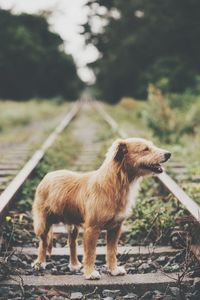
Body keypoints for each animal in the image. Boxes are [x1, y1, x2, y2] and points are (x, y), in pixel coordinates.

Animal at [31, 138, 170, 278]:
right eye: (145, 149)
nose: (168, 154)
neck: (115, 183)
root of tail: (48, 175)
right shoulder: (92, 229)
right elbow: (90, 253)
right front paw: (90, 273)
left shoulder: (115, 228)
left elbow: (111, 251)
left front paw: (113, 270)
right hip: (43, 223)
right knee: (43, 242)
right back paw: (40, 263)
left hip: (73, 225)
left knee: (72, 243)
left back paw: (74, 264)